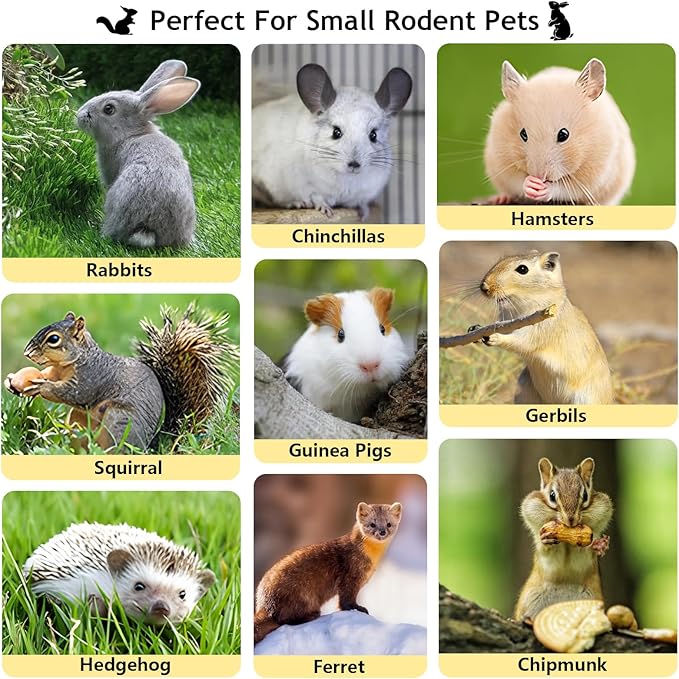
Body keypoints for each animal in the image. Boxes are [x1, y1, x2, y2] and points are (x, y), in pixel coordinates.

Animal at [252, 64, 412, 220]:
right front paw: (326, 210)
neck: (346, 180)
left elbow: (361, 202)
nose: (354, 165)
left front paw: (365, 213)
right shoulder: (305, 185)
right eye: (336, 132)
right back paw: (296, 203)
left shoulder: (366, 192)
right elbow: (316, 197)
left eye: (373, 135)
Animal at [484, 58, 635, 206]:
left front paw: (543, 188)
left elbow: (562, 188)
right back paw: (500, 198)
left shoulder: (595, 174)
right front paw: (531, 183)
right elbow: (517, 181)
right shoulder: (501, 161)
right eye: (523, 134)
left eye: (564, 135)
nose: (539, 176)